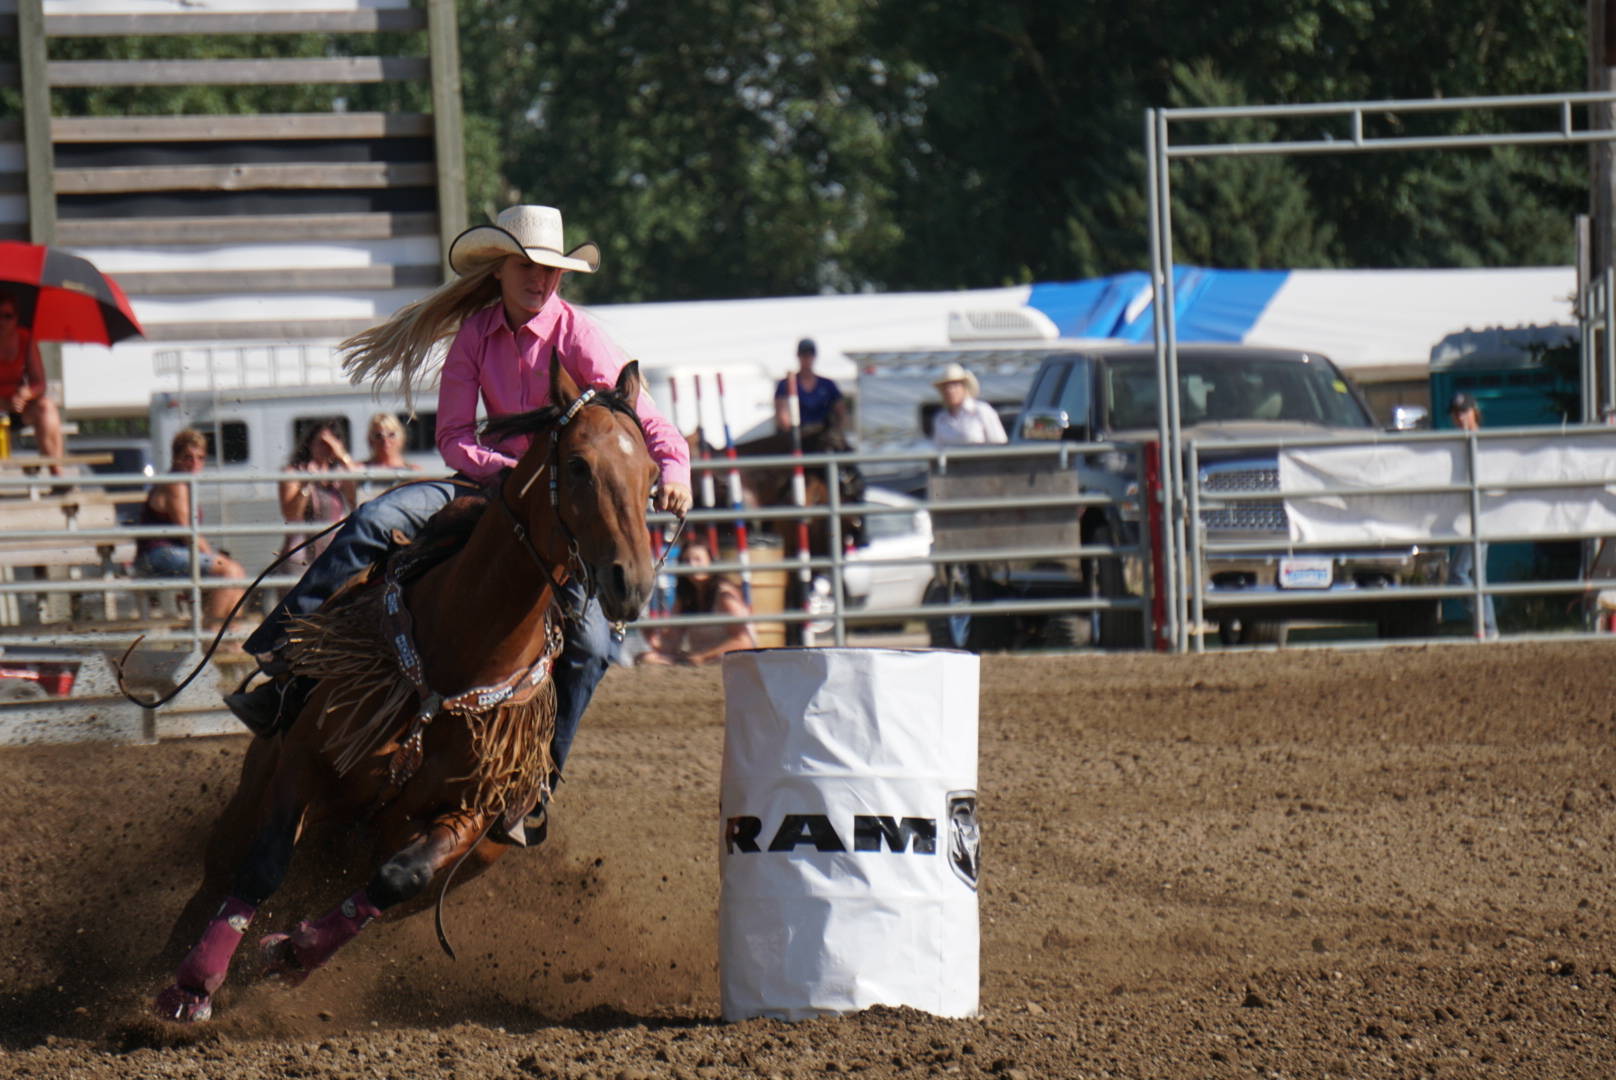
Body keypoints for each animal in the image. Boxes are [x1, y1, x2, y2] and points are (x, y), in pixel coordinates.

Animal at [152, 355, 656, 1021]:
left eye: (652, 475)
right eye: (577, 464)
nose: (632, 583)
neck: (461, 659)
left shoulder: (472, 810)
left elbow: (398, 878)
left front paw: (293, 949)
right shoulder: (306, 761)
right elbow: (263, 866)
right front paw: (192, 986)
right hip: (249, 796)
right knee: (221, 874)